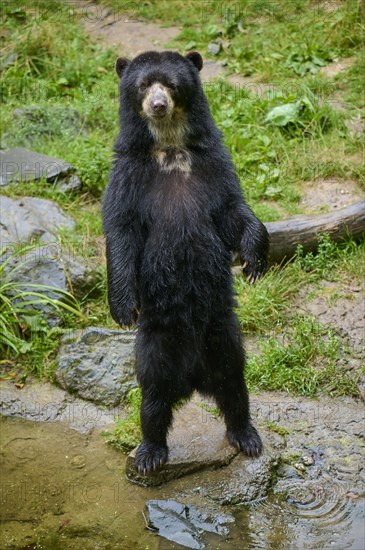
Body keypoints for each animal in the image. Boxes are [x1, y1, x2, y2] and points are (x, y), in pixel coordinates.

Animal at [102, 49, 268, 476]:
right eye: (144, 85)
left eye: (172, 85)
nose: (158, 105)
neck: (172, 148)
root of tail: (193, 379)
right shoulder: (128, 176)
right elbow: (122, 231)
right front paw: (123, 308)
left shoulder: (213, 165)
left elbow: (233, 210)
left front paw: (254, 262)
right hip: (157, 345)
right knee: (153, 398)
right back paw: (150, 453)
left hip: (224, 334)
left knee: (235, 383)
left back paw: (246, 435)